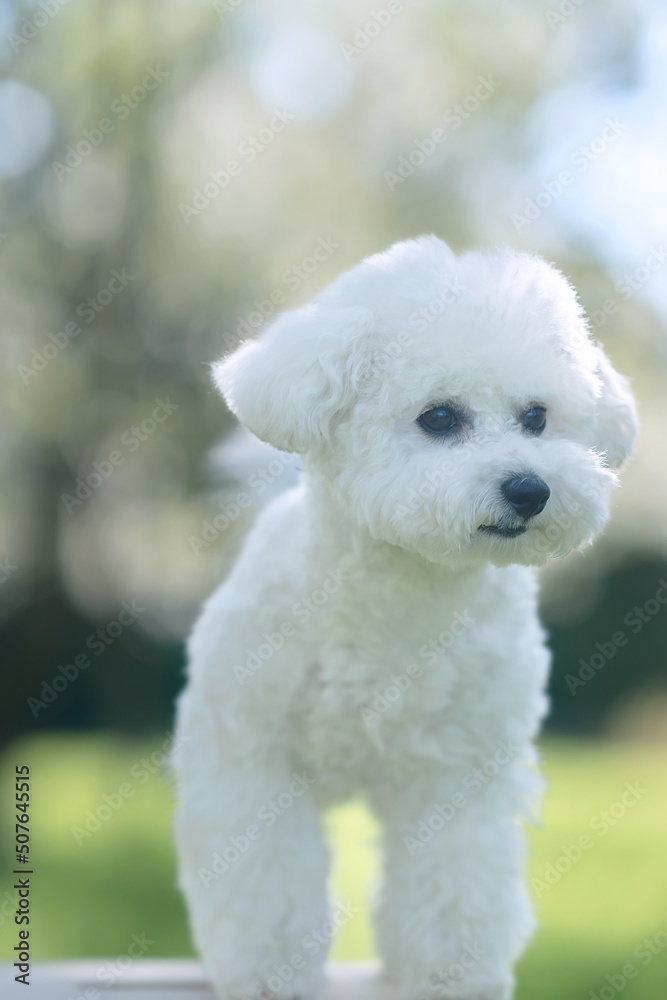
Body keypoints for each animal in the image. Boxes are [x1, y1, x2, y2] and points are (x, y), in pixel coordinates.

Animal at [175, 236, 640, 1000]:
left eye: (537, 417)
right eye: (439, 417)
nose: (529, 489)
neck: (401, 591)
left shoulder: (456, 774)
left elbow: (452, 882)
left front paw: (452, 974)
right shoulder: (253, 760)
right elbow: (266, 884)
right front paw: (271, 972)